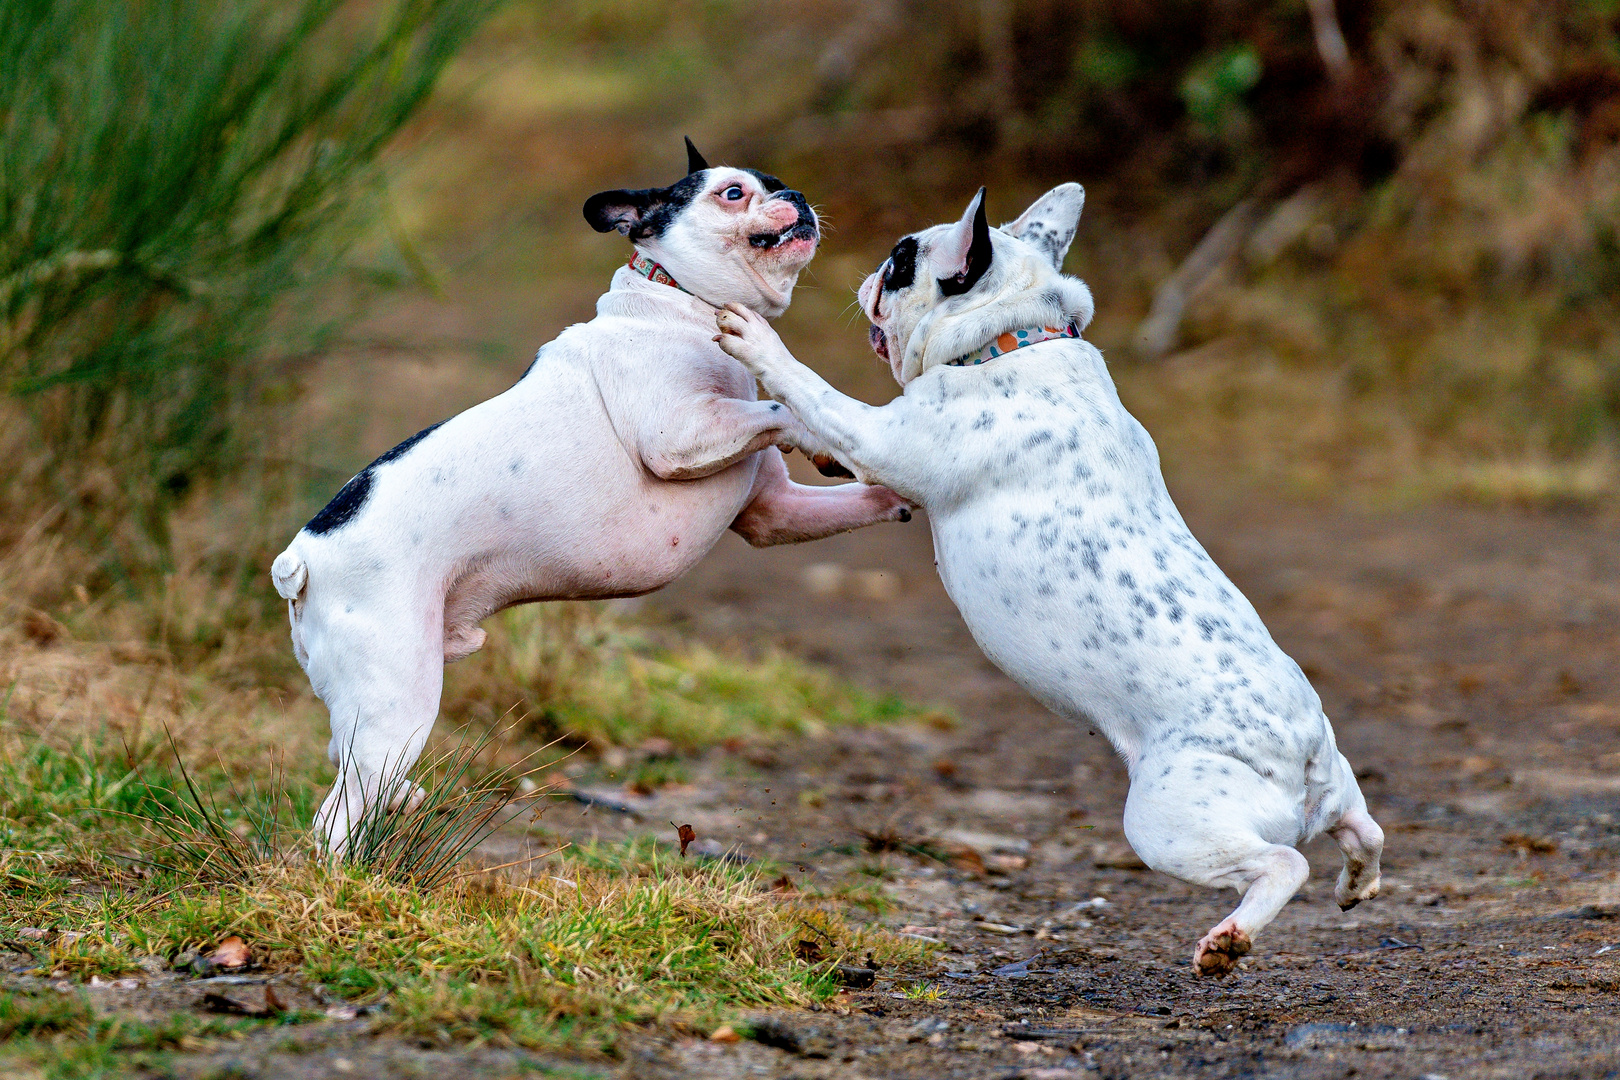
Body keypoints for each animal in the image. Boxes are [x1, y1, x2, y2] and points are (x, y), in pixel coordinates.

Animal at [277, 143, 913, 854]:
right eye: (732, 193)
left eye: (775, 182)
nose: (795, 196)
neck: (680, 303)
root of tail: (302, 559)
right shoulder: (677, 436)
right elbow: (779, 406)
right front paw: (824, 436)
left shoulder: (771, 513)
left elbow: (837, 485)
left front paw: (887, 484)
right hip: (396, 701)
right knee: (336, 818)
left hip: (368, 706)